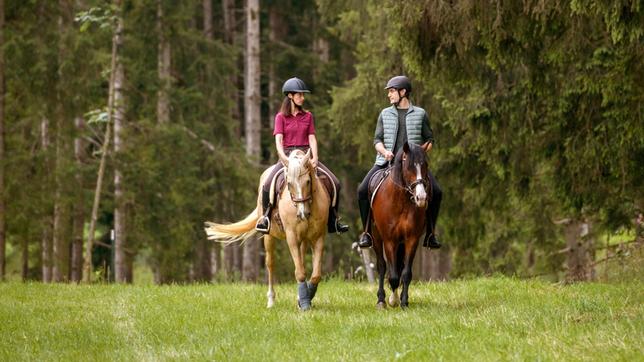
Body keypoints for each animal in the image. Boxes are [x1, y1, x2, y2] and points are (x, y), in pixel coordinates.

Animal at [204, 150, 330, 312]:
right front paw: (305, 303)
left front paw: (304, 298)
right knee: (270, 264)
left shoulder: (318, 237)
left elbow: (315, 274)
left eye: (308, 181)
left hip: (302, 240)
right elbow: (300, 272)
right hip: (268, 236)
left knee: (300, 260)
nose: (302, 213)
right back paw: (271, 301)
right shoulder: (292, 237)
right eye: (289, 184)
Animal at [370, 141, 430, 308]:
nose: (421, 197)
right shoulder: (390, 240)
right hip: (376, 237)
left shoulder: (411, 239)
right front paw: (392, 300)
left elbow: (406, 273)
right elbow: (393, 276)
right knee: (382, 266)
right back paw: (381, 300)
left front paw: (403, 302)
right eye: (409, 167)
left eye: (425, 165)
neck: (401, 200)